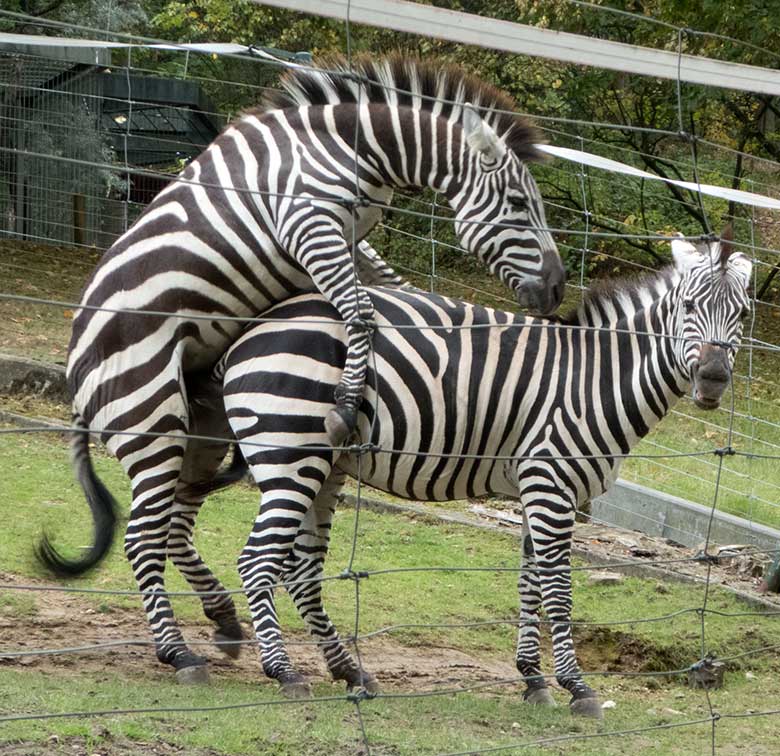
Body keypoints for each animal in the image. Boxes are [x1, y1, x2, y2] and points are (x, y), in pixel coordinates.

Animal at [41, 53, 568, 680]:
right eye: (519, 205)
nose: (558, 290)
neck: (351, 147)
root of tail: (75, 369)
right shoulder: (307, 225)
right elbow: (362, 312)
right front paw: (345, 403)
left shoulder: (351, 238)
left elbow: (391, 290)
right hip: (150, 414)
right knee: (143, 536)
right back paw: (178, 652)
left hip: (204, 428)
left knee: (175, 523)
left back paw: (223, 617)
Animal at [47, 227, 748, 712]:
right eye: (687, 308)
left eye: (741, 316)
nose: (714, 378)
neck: (592, 381)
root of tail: (251, 327)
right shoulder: (551, 483)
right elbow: (556, 587)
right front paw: (576, 687)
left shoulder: (537, 489)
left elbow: (529, 583)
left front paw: (533, 680)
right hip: (291, 452)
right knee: (248, 558)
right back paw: (267, 668)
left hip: (319, 463)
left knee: (288, 566)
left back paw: (344, 669)